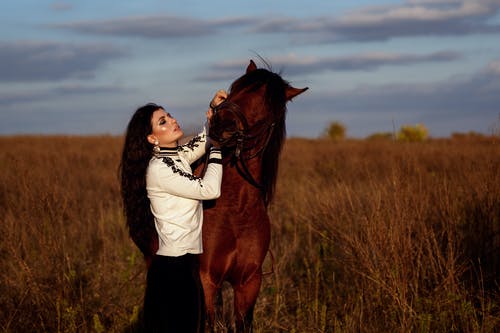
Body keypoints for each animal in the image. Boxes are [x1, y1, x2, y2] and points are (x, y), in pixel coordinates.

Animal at [199, 59, 308, 330]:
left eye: (269, 105)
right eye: (236, 88)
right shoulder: (206, 278)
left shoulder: (248, 282)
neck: (234, 209)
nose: (221, 123)